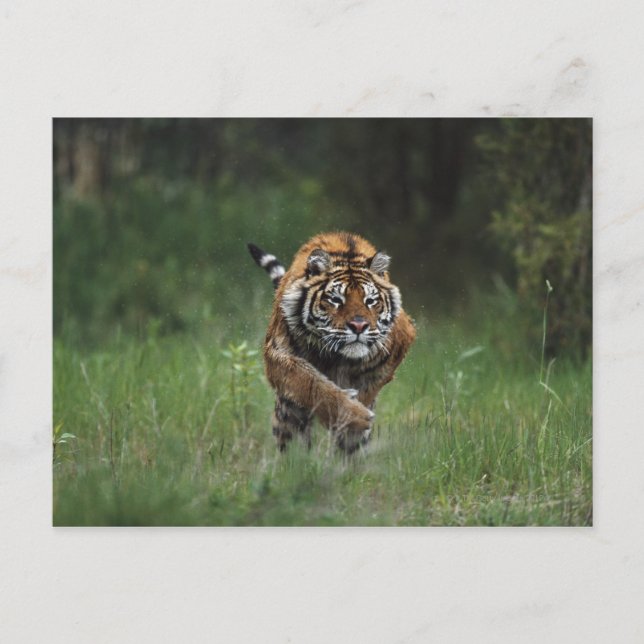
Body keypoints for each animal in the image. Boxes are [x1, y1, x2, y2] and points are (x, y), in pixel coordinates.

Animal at [248, 231, 416, 453]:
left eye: (370, 301)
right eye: (336, 300)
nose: (359, 326)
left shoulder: (399, 343)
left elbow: (370, 386)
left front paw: (355, 418)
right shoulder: (277, 353)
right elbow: (309, 381)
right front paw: (352, 415)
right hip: (286, 414)